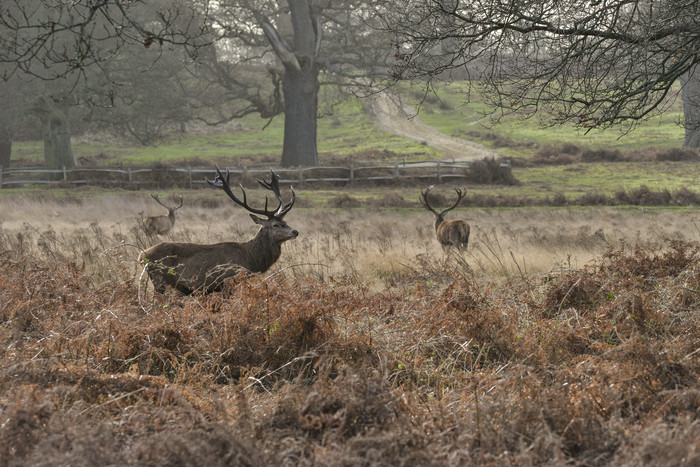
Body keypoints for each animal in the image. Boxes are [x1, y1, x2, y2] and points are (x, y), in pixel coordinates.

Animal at [139, 166, 298, 294]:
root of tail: (141, 256)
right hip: (161, 281)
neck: (251, 260)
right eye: (275, 225)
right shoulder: (229, 281)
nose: (295, 231)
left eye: (285, 222)